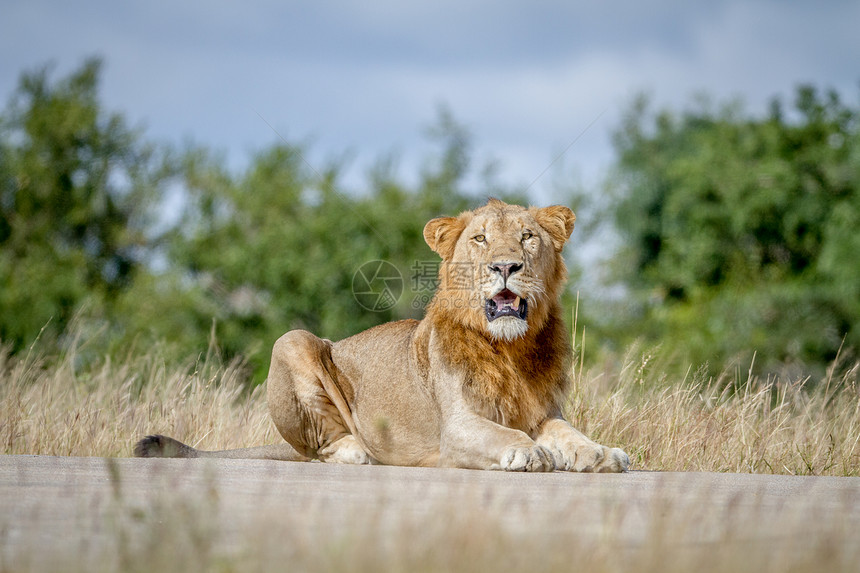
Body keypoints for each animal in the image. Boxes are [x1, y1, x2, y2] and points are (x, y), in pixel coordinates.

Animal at [136, 199, 632, 472]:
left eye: (527, 237)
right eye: (480, 240)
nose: (506, 266)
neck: (510, 347)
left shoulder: (544, 410)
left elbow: (568, 434)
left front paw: (602, 453)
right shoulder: (457, 428)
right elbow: (507, 436)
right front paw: (532, 454)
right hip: (292, 340)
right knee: (319, 447)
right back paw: (357, 450)